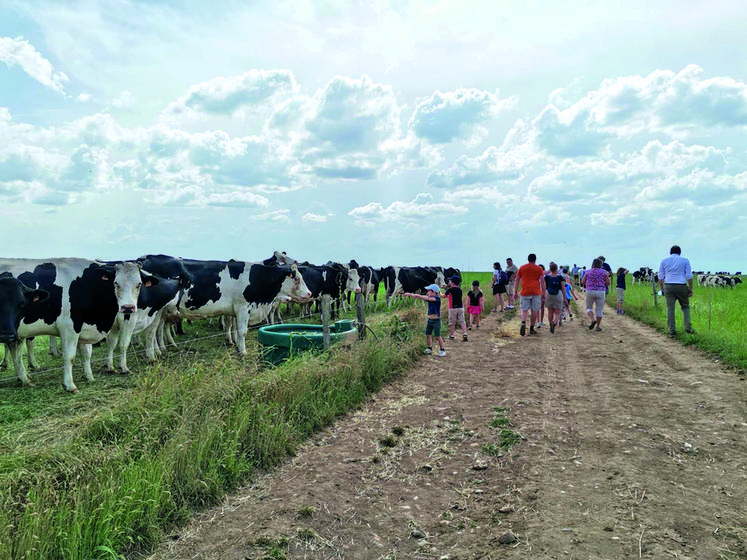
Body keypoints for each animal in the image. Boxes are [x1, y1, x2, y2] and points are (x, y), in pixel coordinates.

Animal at [0, 258, 152, 392]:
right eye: (116, 283)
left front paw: (89, 377)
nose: (128, 308)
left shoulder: (85, 327)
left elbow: (86, 354)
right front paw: (70, 385)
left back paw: (24, 379)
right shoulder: (69, 327)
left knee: (16, 354)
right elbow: (70, 356)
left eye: (139, 284)